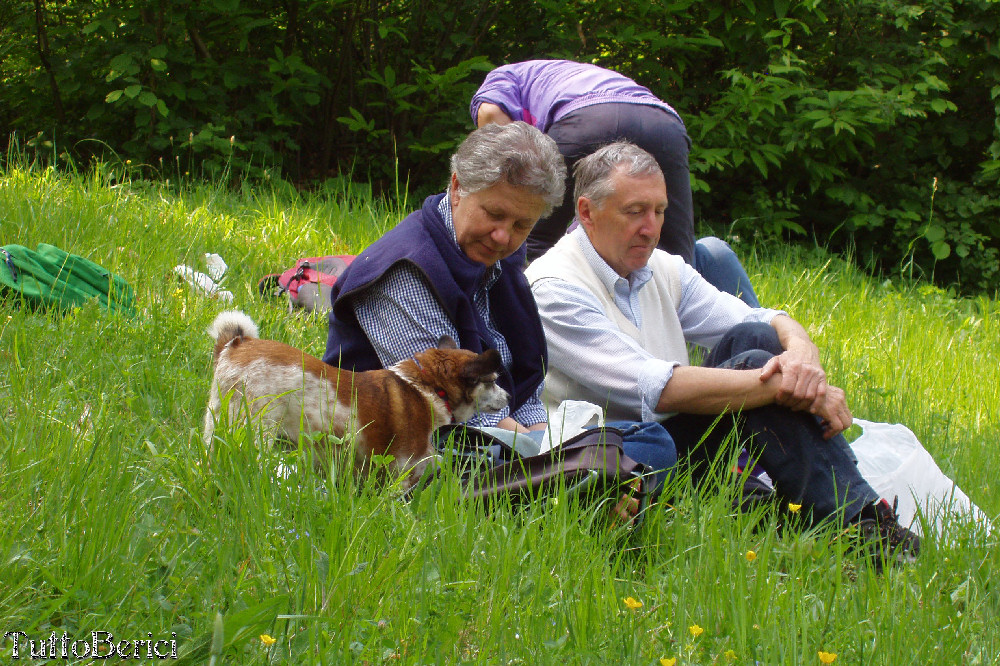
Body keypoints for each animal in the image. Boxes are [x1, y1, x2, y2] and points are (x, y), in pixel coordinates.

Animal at [201, 308, 508, 486]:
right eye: (493, 381)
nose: (507, 396)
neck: (427, 387)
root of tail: (235, 345)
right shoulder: (405, 469)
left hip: (218, 425)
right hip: (254, 429)